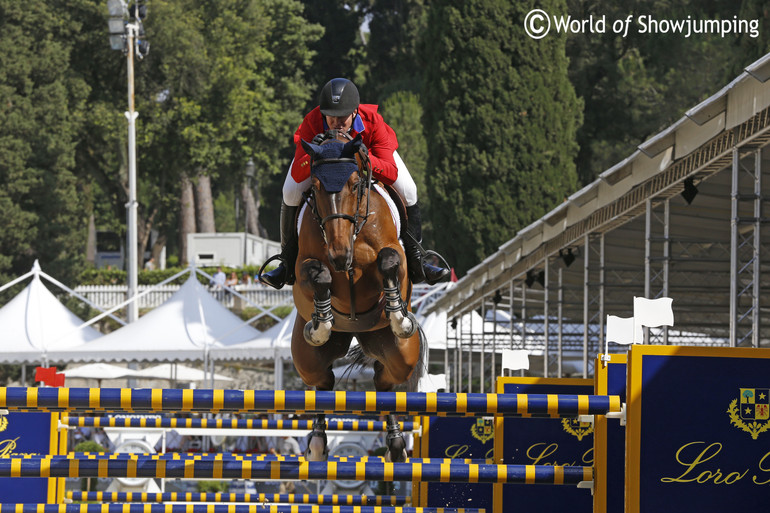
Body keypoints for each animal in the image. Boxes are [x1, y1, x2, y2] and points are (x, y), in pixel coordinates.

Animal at [290, 130, 420, 462]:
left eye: (354, 183)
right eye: (316, 186)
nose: (339, 255)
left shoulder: (395, 258)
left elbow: (389, 260)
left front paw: (399, 318)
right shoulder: (303, 267)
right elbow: (318, 274)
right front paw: (321, 323)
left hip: (399, 353)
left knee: (385, 381)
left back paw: (396, 445)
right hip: (307, 360)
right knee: (323, 383)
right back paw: (317, 444)